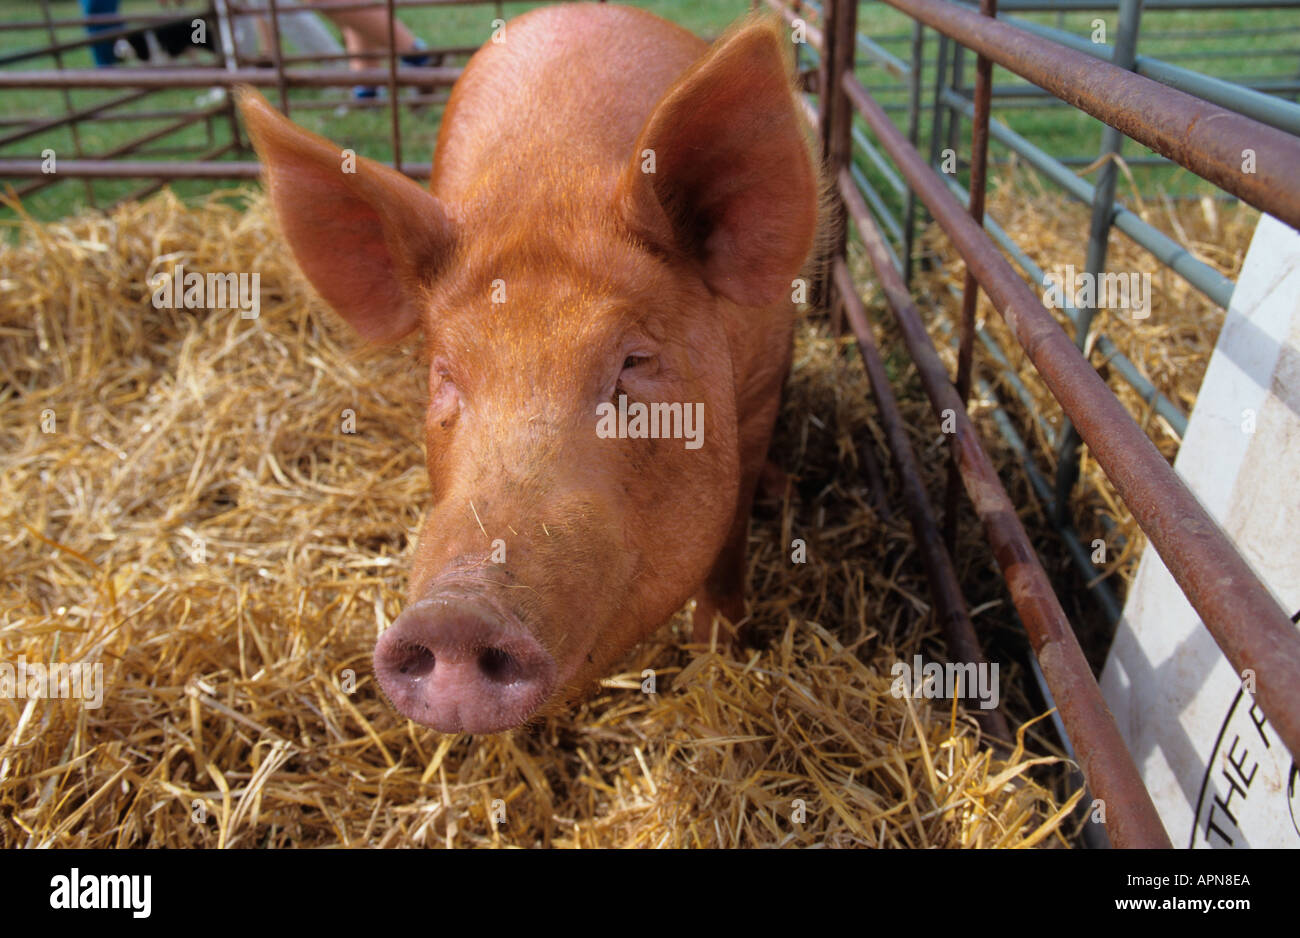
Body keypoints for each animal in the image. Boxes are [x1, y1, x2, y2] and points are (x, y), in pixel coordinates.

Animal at [237, 2, 820, 734]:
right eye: (444, 374)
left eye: (634, 361)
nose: (455, 614)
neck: (551, 185)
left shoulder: (764, 382)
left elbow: (731, 535)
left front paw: (722, 651)